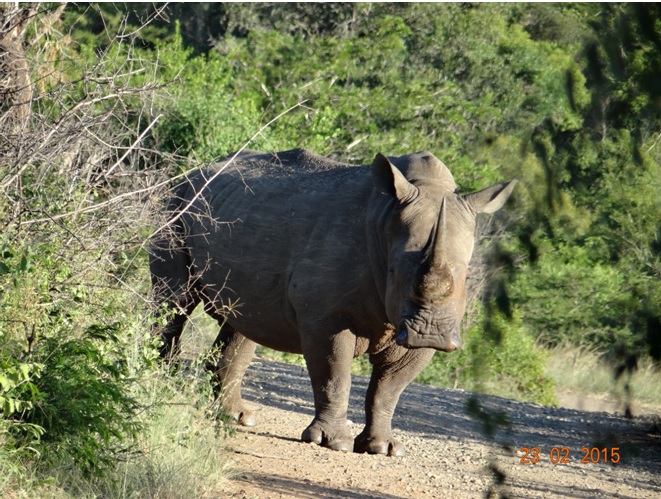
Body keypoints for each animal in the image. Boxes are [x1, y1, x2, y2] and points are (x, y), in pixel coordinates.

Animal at [151, 147, 516, 458]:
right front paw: (333, 443)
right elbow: (334, 373)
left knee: (243, 321)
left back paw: (235, 417)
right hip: (176, 205)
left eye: (466, 276)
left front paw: (383, 449)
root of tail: (193, 172)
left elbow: (390, 387)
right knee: (174, 302)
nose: (430, 333)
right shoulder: (325, 315)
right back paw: (162, 385)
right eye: (396, 270)